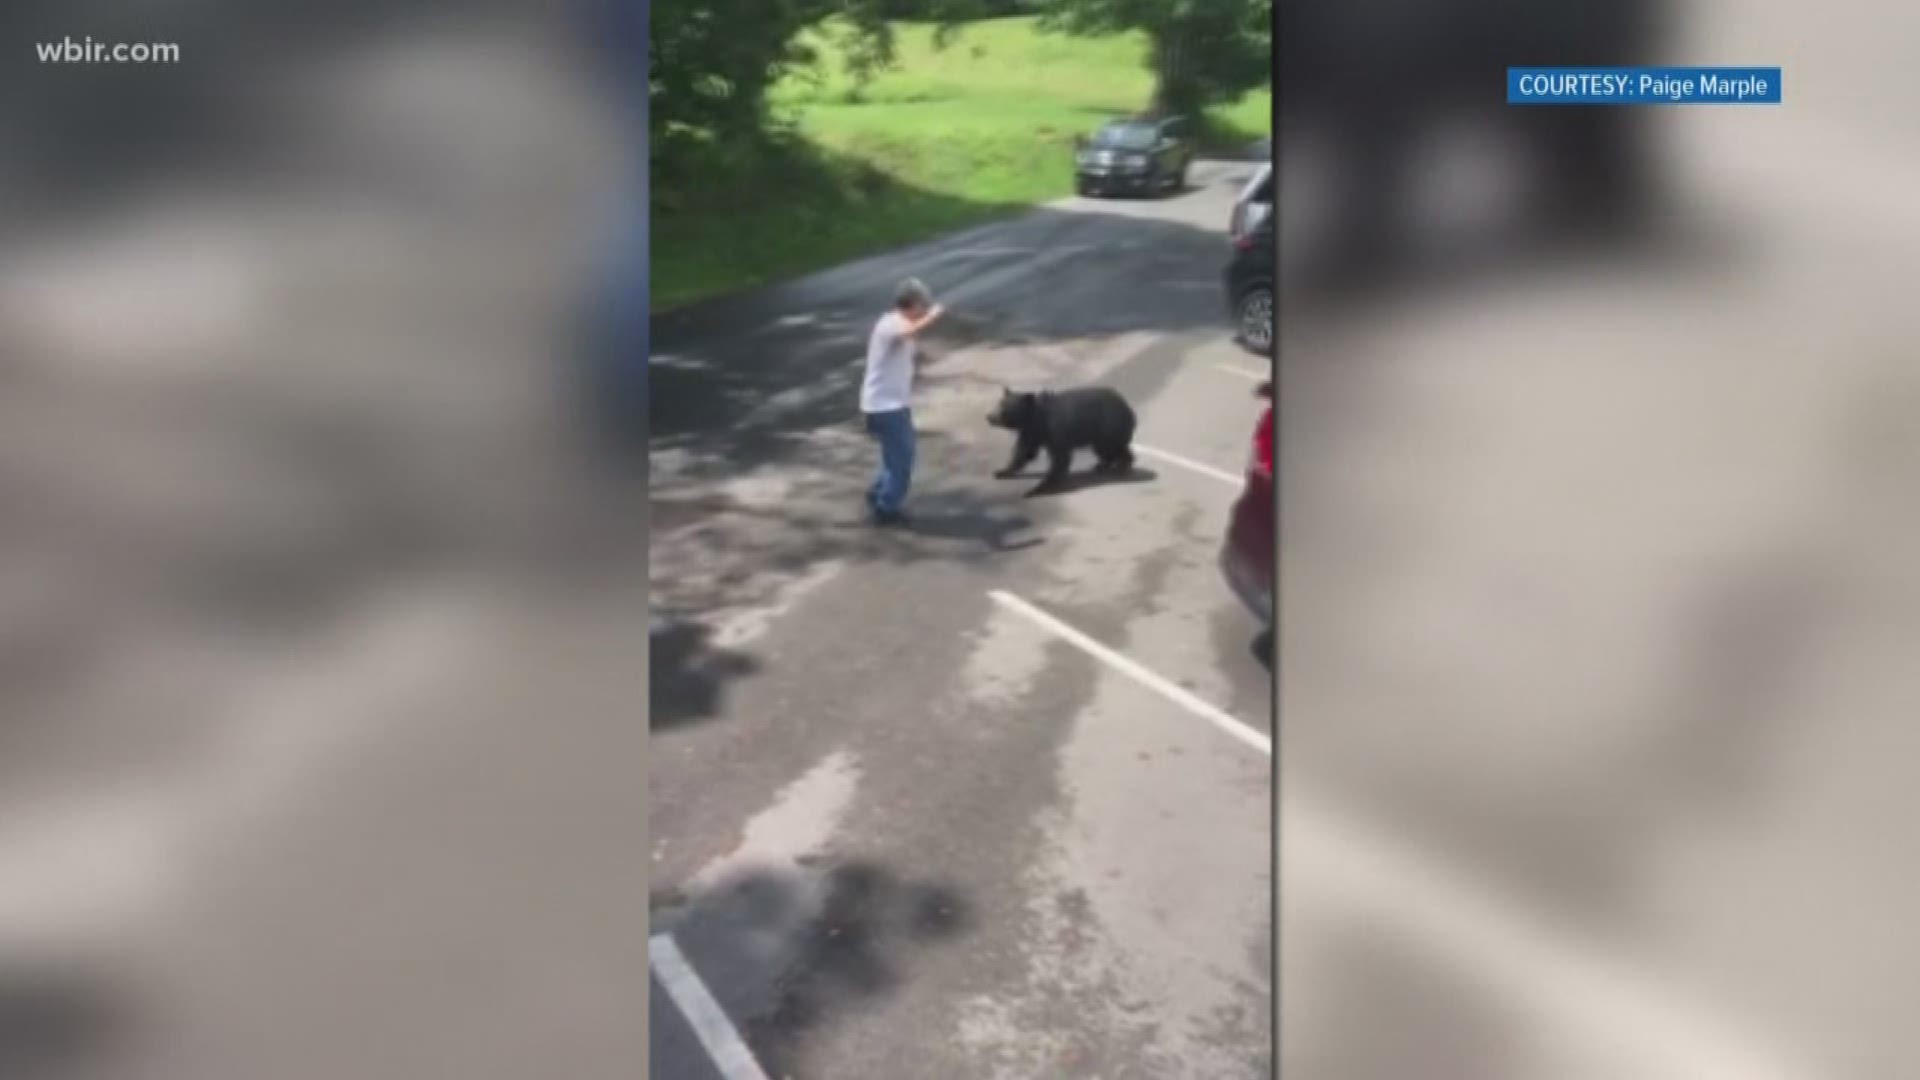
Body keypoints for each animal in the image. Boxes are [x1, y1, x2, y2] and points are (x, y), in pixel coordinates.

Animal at [998, 384, 1128, 495]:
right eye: (999, 404)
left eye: (1005, 408)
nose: (992, 417)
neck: (1037, 419)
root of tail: (1126, 405)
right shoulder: (1032, 432)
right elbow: (1024, 451)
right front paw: (1002, 471)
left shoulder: (1055, 430)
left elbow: (1060, 458)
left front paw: (1037, 489)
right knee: (1107, 450)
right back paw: (1103, 465)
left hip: (1108, 427)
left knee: (1109, 448)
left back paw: (1121, 466)